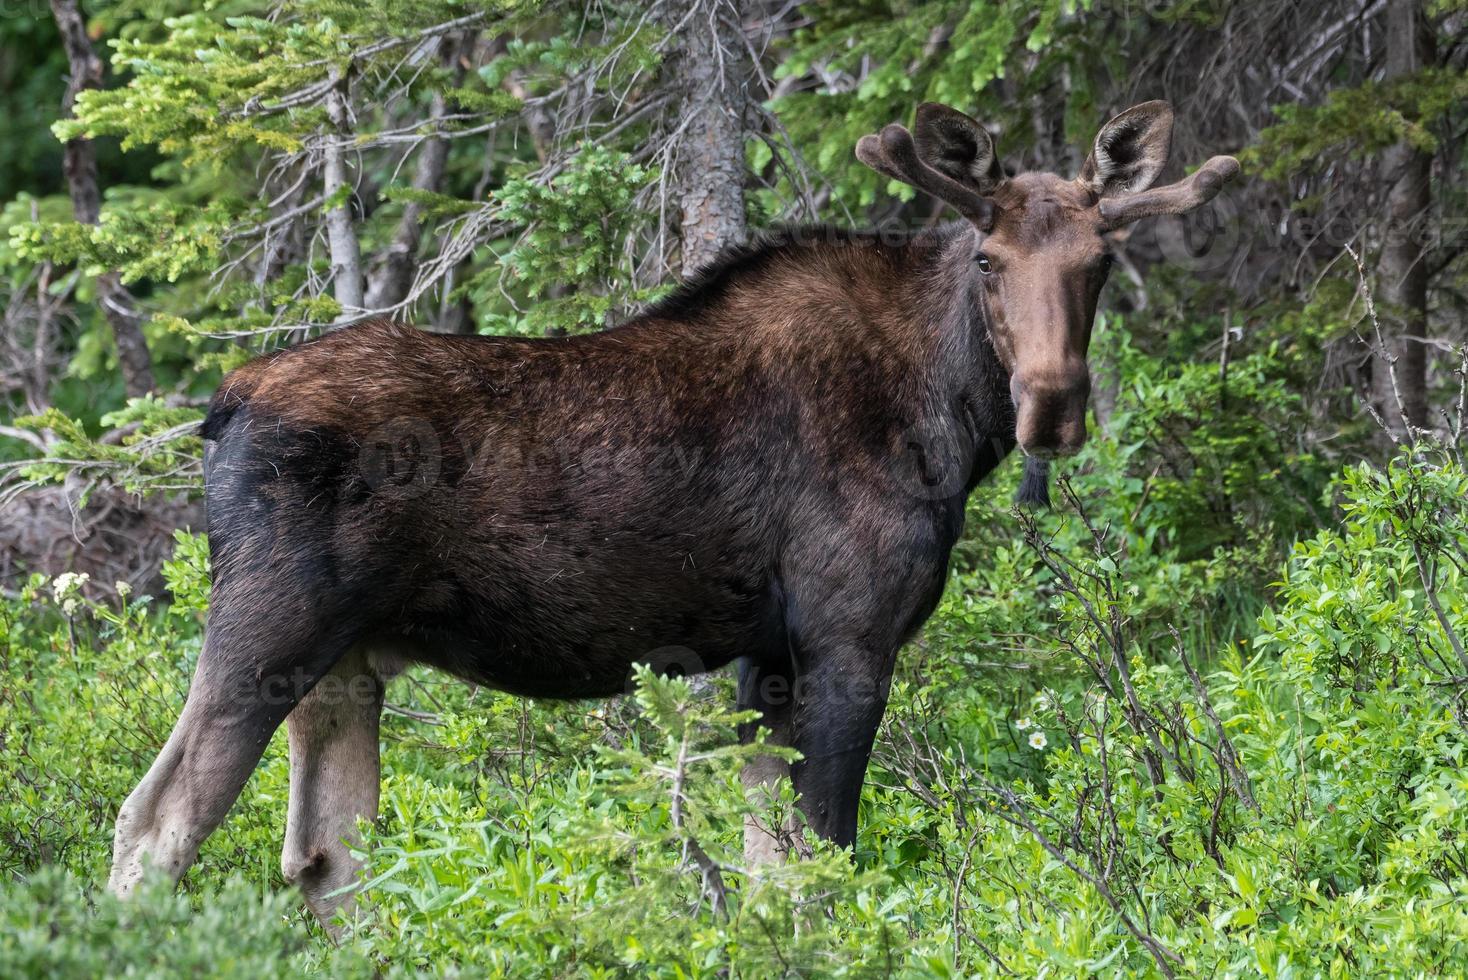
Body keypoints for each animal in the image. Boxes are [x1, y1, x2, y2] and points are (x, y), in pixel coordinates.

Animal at [108, 99, 1238, 927]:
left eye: (1099, 262)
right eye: (988, 261)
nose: (1051, 403)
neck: (949, 417)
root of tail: (221, 407)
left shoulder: (765, 655)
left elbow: (772, 868)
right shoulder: (848, 634)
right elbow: (828, 862)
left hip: (344, 664)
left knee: (326, 858)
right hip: (269, 628)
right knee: (154, 824)